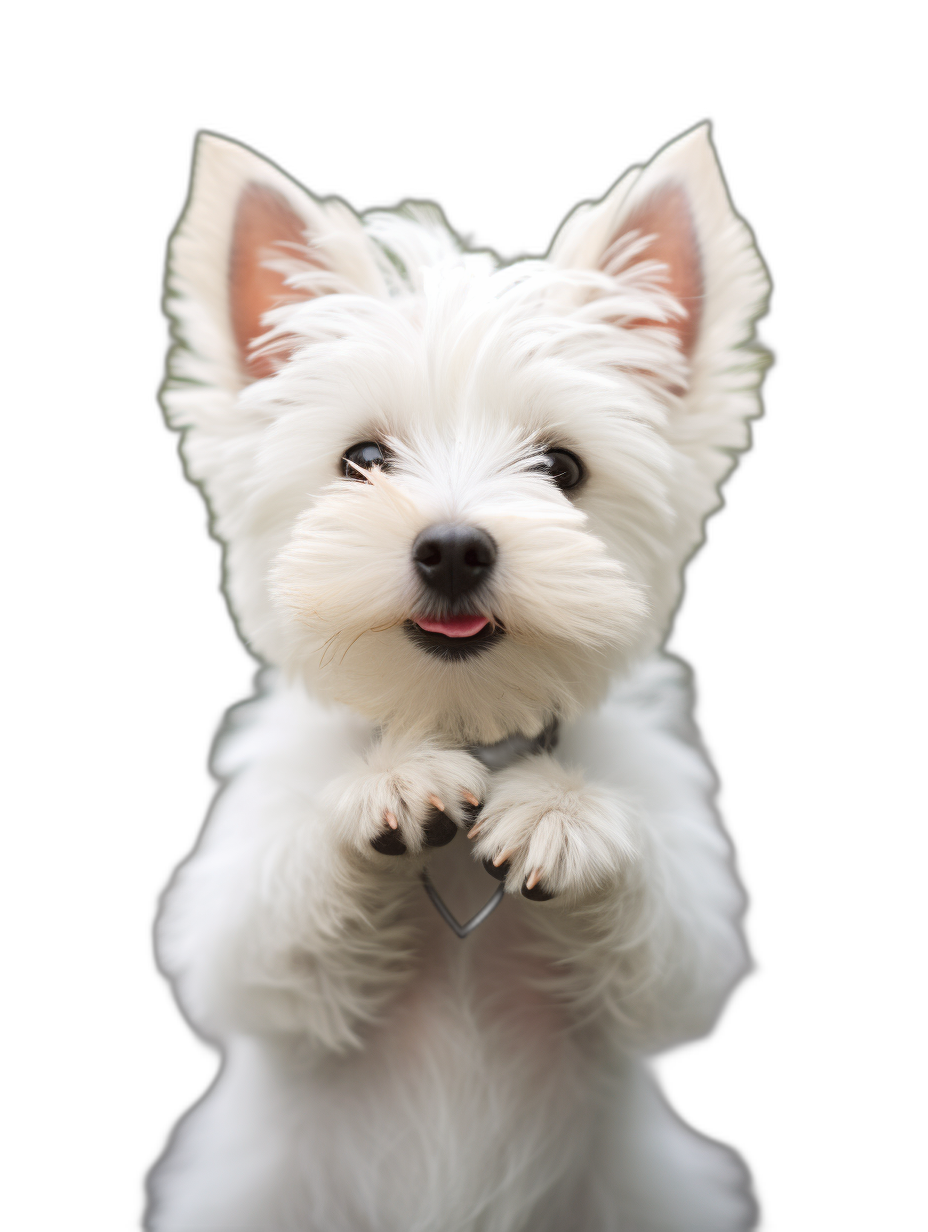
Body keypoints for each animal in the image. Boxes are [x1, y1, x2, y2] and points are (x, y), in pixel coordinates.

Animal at [144, 127, 769, 1232]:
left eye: (562, 468)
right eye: (361, 456)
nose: (450, 548)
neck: (463, 717)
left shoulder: (686, 933)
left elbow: (666, 943)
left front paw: (559, 811)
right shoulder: (235, 933)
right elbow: (267, 931)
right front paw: (392, 782)